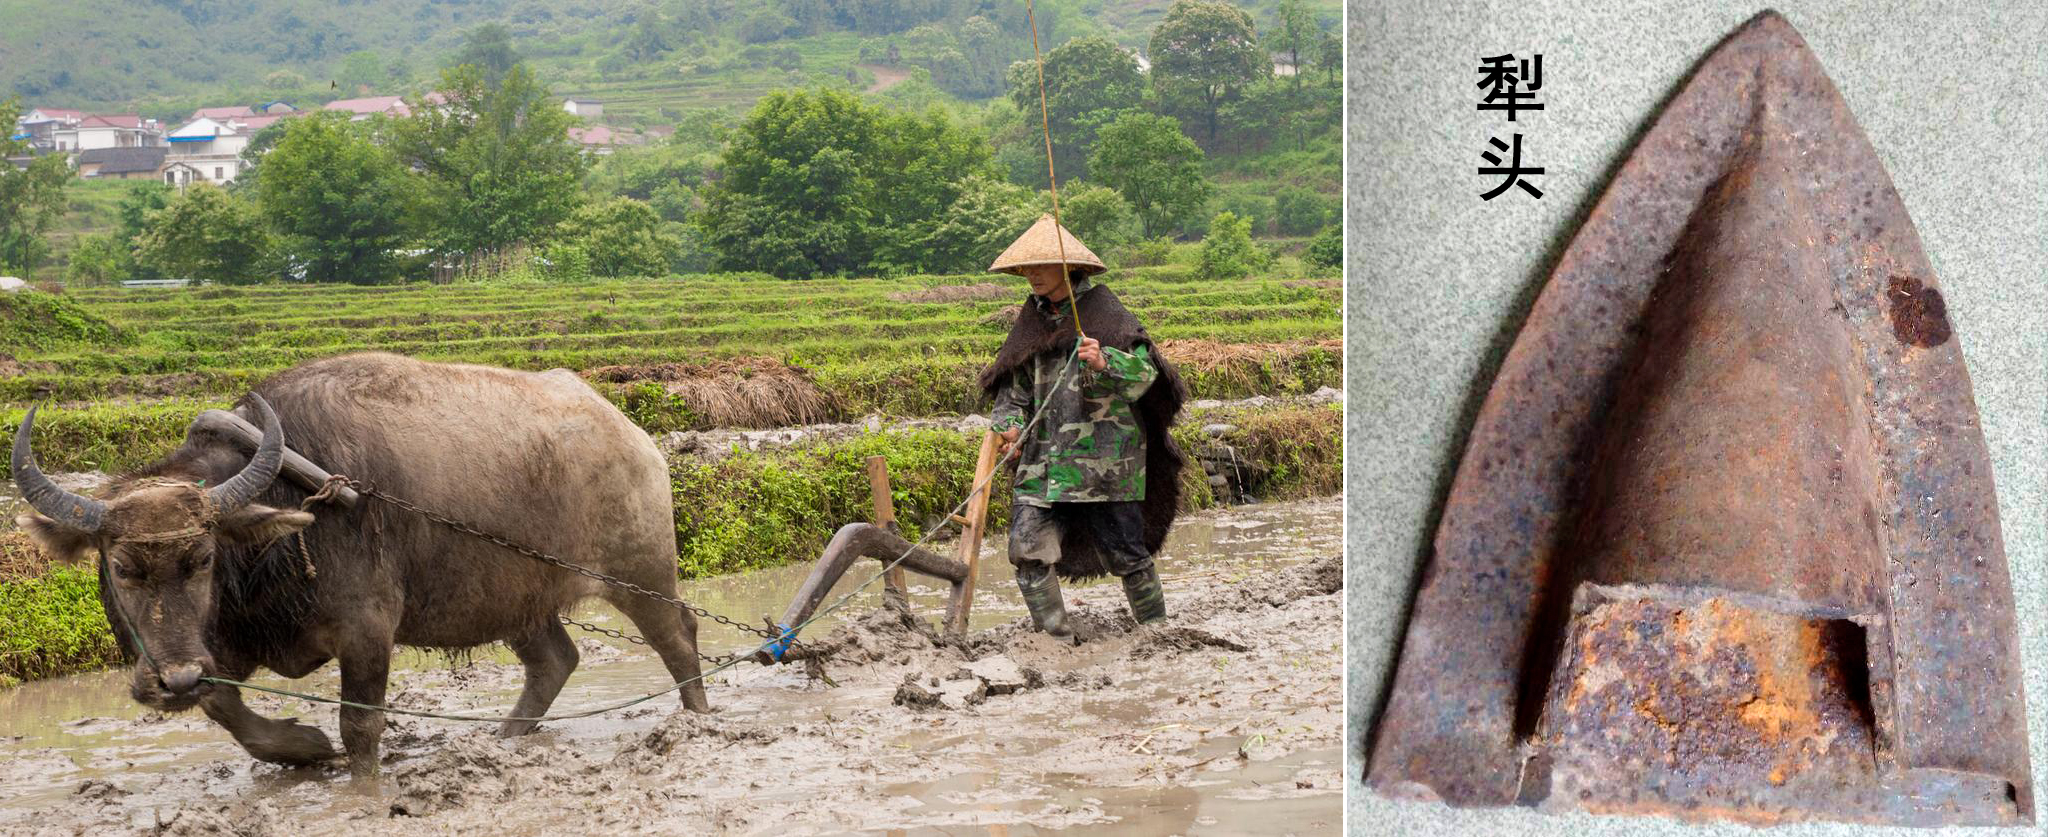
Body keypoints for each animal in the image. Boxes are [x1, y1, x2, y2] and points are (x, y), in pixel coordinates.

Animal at [14, 349, 712, 773]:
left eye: (205, 557)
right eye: (120, 568)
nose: (172, 682)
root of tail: (631, 435)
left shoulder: (367, 628)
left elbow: (359, 727)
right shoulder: (218, 648)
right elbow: (226, 709)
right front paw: (300, 747)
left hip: (641, 573)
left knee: (679, 638)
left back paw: (699, 722)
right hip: (515, 596)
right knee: (555, 660)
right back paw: (503, 741)